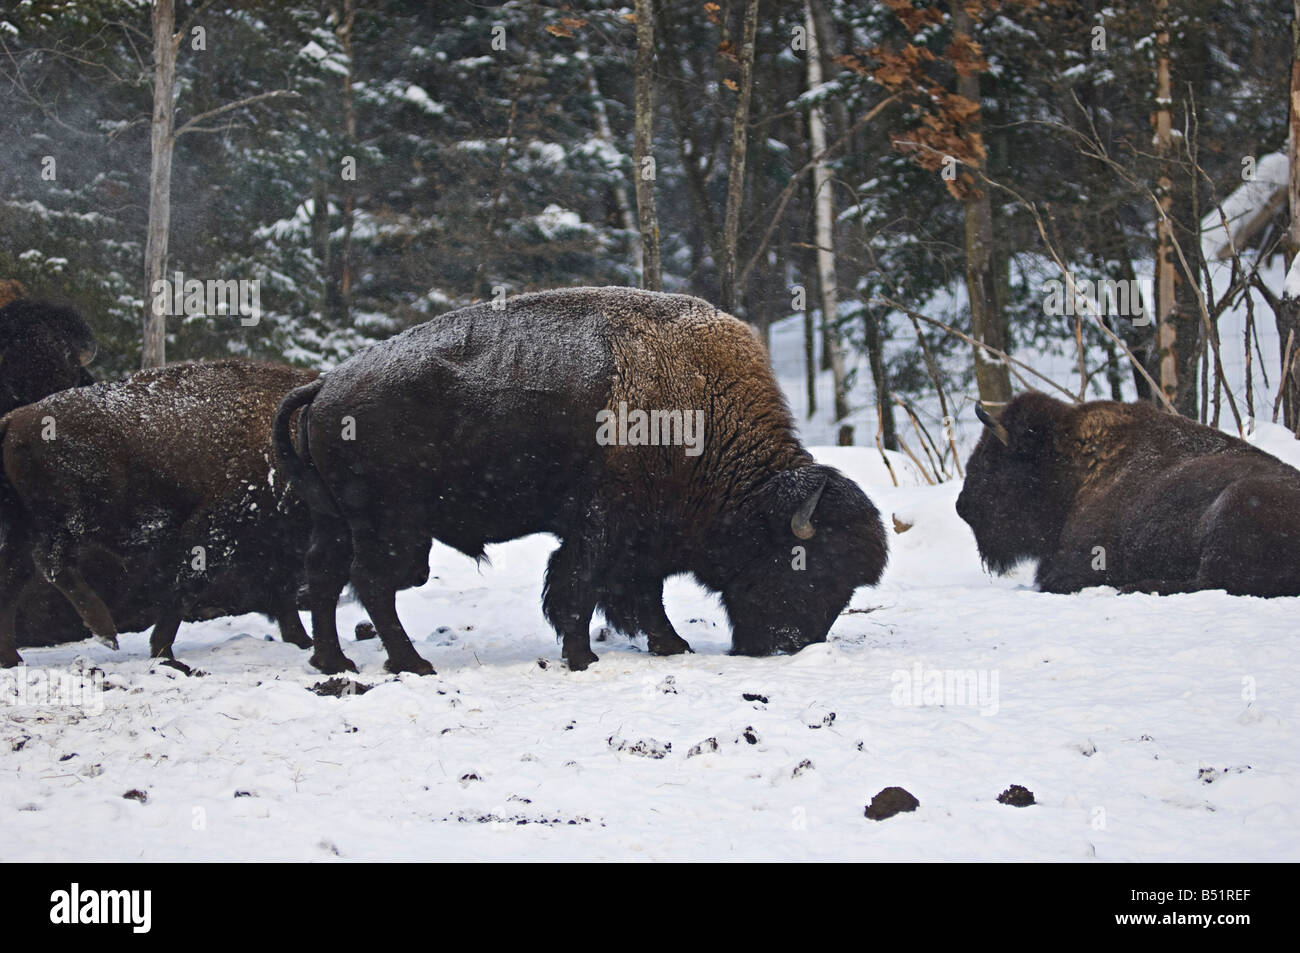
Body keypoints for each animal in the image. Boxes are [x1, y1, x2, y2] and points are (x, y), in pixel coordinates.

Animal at [0, 359, 318, 667]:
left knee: (14, 580)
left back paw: (12, 658)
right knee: (51, 562)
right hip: (74, 518)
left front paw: (303, 641)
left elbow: (283, 594)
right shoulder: (216, 530)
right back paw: (106, 633)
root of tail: (14, 420)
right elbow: (188, 587)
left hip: (24, 526)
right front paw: (163, 651)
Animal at [274, 287, 887, 674]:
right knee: (374, 584)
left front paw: (672, 646)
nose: (791, 646)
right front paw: (583, 657)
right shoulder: (603, 525)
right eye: (809, 565)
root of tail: (326, 386)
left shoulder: (640, 538)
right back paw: (412, 664)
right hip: (396, 531)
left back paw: (333, 661)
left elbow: (638, 593)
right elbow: (583, 586)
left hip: (335, 522)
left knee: (326, 580)